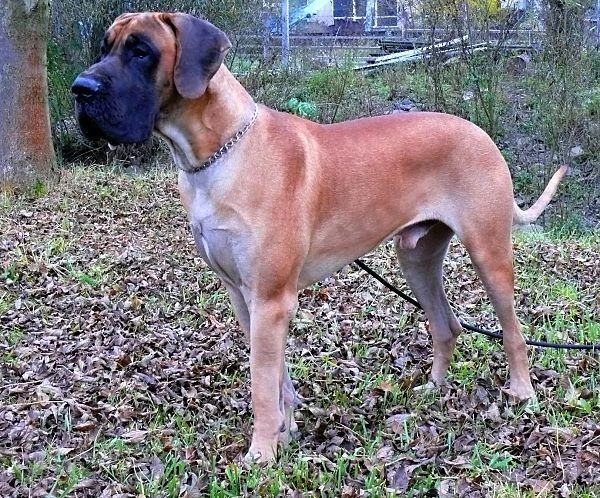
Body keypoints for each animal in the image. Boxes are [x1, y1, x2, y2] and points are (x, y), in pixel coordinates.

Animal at [71, 12, 567, 462]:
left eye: (141, 51)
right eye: (105, 47)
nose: (80, 88)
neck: (216, 155)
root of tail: (481, 132)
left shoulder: (270, 299)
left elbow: (261, 384)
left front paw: (261, 454)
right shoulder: (245, 297)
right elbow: (276, 378)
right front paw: (285, 432)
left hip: (488, 251)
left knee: (513, 332)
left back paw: (521, 394)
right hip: (417, 258)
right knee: (447, 324)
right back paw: (433, 388)